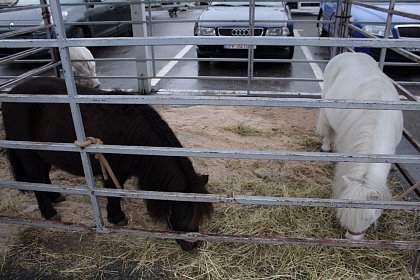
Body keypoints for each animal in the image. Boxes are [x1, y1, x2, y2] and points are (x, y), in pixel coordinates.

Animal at [1, 77, 213, 252]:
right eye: (182, 210)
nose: (193, 245)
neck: (131, 135)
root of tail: (12, 94)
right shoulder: (114, 172)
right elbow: (114, 194)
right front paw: (117, 217)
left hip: (43, 154)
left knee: (43, 177)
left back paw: (55, 197)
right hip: (29, 155)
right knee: (35, 179)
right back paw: (49, 212)